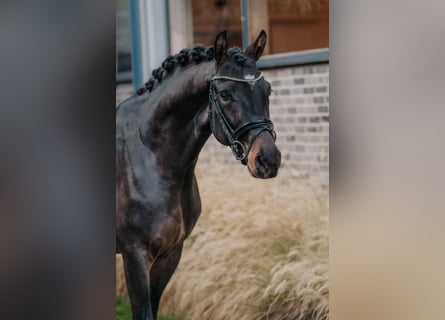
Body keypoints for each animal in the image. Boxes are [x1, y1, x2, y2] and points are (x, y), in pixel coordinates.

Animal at [115, 30, 280, 320]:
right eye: (224, 94)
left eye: (267, 90)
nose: (267, 160)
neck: (150, 155)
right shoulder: (134, 255)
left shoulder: (170, 254)